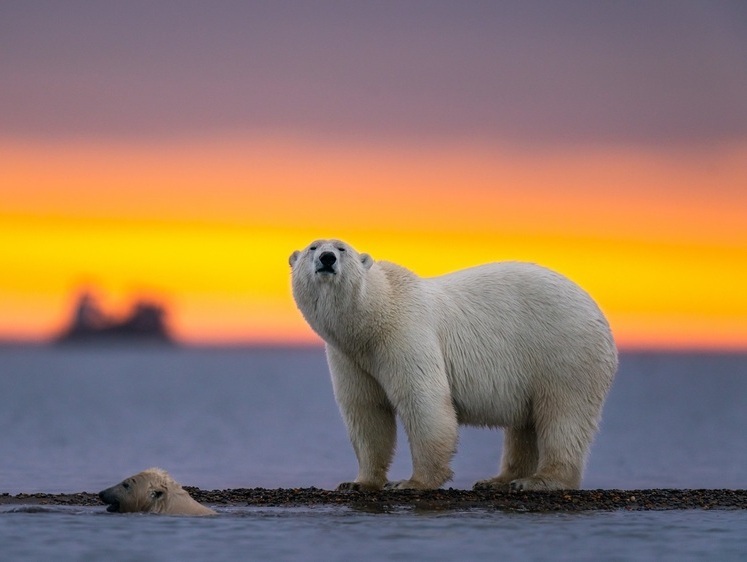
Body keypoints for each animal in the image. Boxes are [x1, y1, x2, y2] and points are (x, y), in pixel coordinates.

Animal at [290, 238, 616, 488]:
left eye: (342, 248)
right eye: (312, 247)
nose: (327, 258)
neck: (372, 319)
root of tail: (599, 313)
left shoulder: (405, 333)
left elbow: (423, 400)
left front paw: (413, 482)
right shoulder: (350, 357)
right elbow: (366, 411)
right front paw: (359, 482)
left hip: (564, 351)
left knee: (563, 414)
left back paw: (539, 481)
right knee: (525, 425)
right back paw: (498, 480)